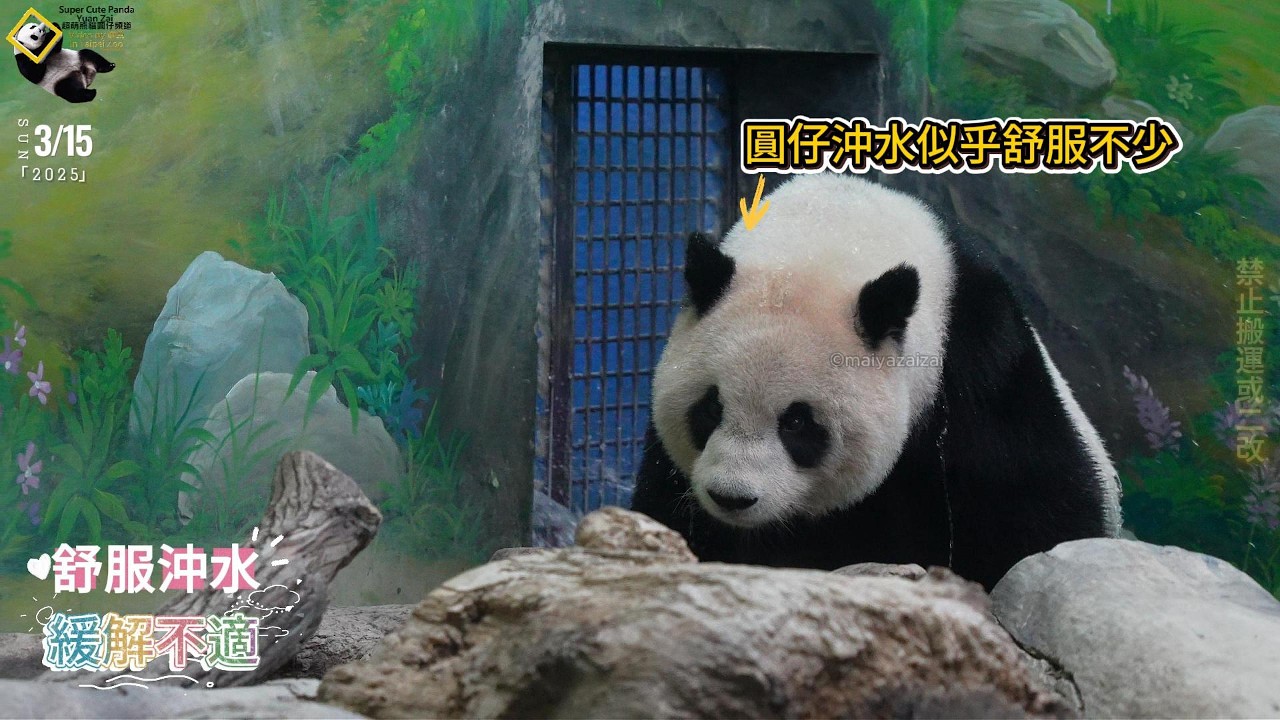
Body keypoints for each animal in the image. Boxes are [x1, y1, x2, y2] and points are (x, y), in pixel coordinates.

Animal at [631, 173, 1121, 590]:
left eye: (797, 423)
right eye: (710, 408)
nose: (731, 497)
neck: (831, 234)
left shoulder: (979, 367)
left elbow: (1030, 498)